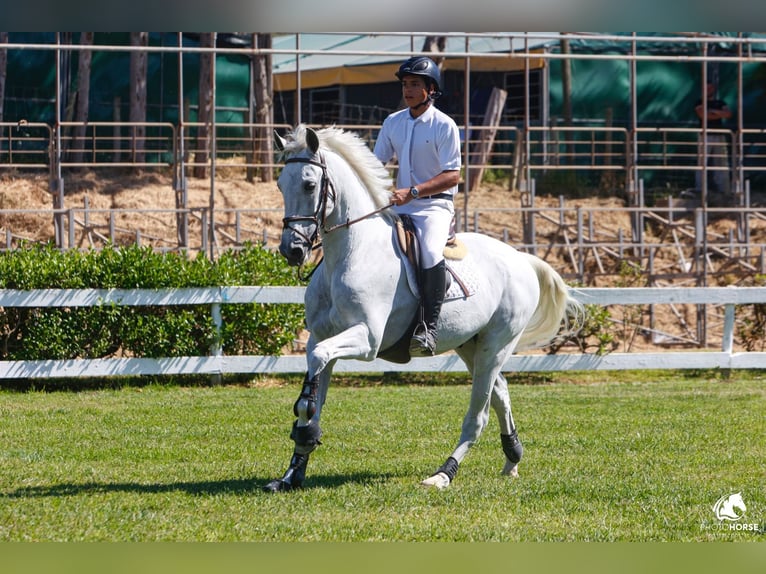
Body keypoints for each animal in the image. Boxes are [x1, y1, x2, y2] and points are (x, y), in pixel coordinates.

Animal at [264, 126, 584, 496]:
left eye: (309, 185)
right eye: (280, 184)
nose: (292, 250)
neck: (351, 252)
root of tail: (520, 258)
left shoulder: (366, 339)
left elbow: (315, 373)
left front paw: (304, 441)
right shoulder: (321, 336)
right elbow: (312, 394)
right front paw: (292, 471)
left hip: (496, 344)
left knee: (478, 415)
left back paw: (443, 474)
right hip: (470, 345)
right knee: (500, 392)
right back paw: (512, 459)